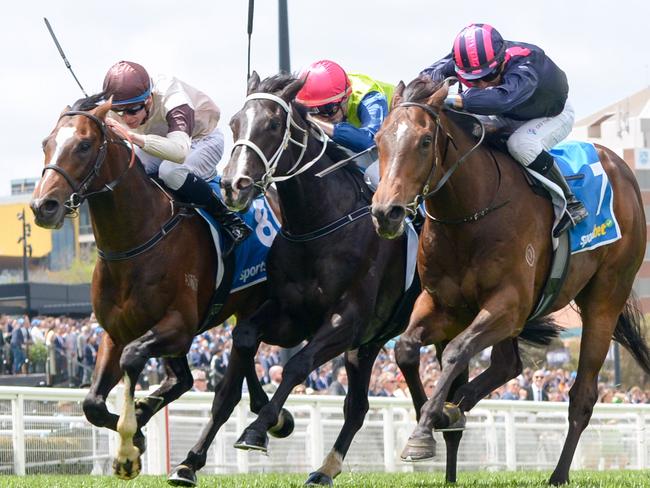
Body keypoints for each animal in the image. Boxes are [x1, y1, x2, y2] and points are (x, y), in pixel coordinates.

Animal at [29, 96, 284, 480]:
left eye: (84, 145)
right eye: (46, 143)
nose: (43, 206)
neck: (136, 241)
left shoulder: (178, 326)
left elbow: (134, 358)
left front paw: (128, 448)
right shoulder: (114, 332)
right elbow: (92, 404)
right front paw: (137, 432)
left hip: (252, 303)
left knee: (226, 381)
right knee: (193, 376)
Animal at [370, 76, 648, 484]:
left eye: (424, 141)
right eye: (379, 139)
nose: (385, 213)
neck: (470, 213)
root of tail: (623, 169)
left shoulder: (510, 305)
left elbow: (456, 351)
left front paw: (426, 428)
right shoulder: (442, 305)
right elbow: (405, 348)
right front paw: (434, 418)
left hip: (605, 299)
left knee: (582, 394)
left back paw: (558, 474)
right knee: (508, 365)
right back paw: (457, 406)